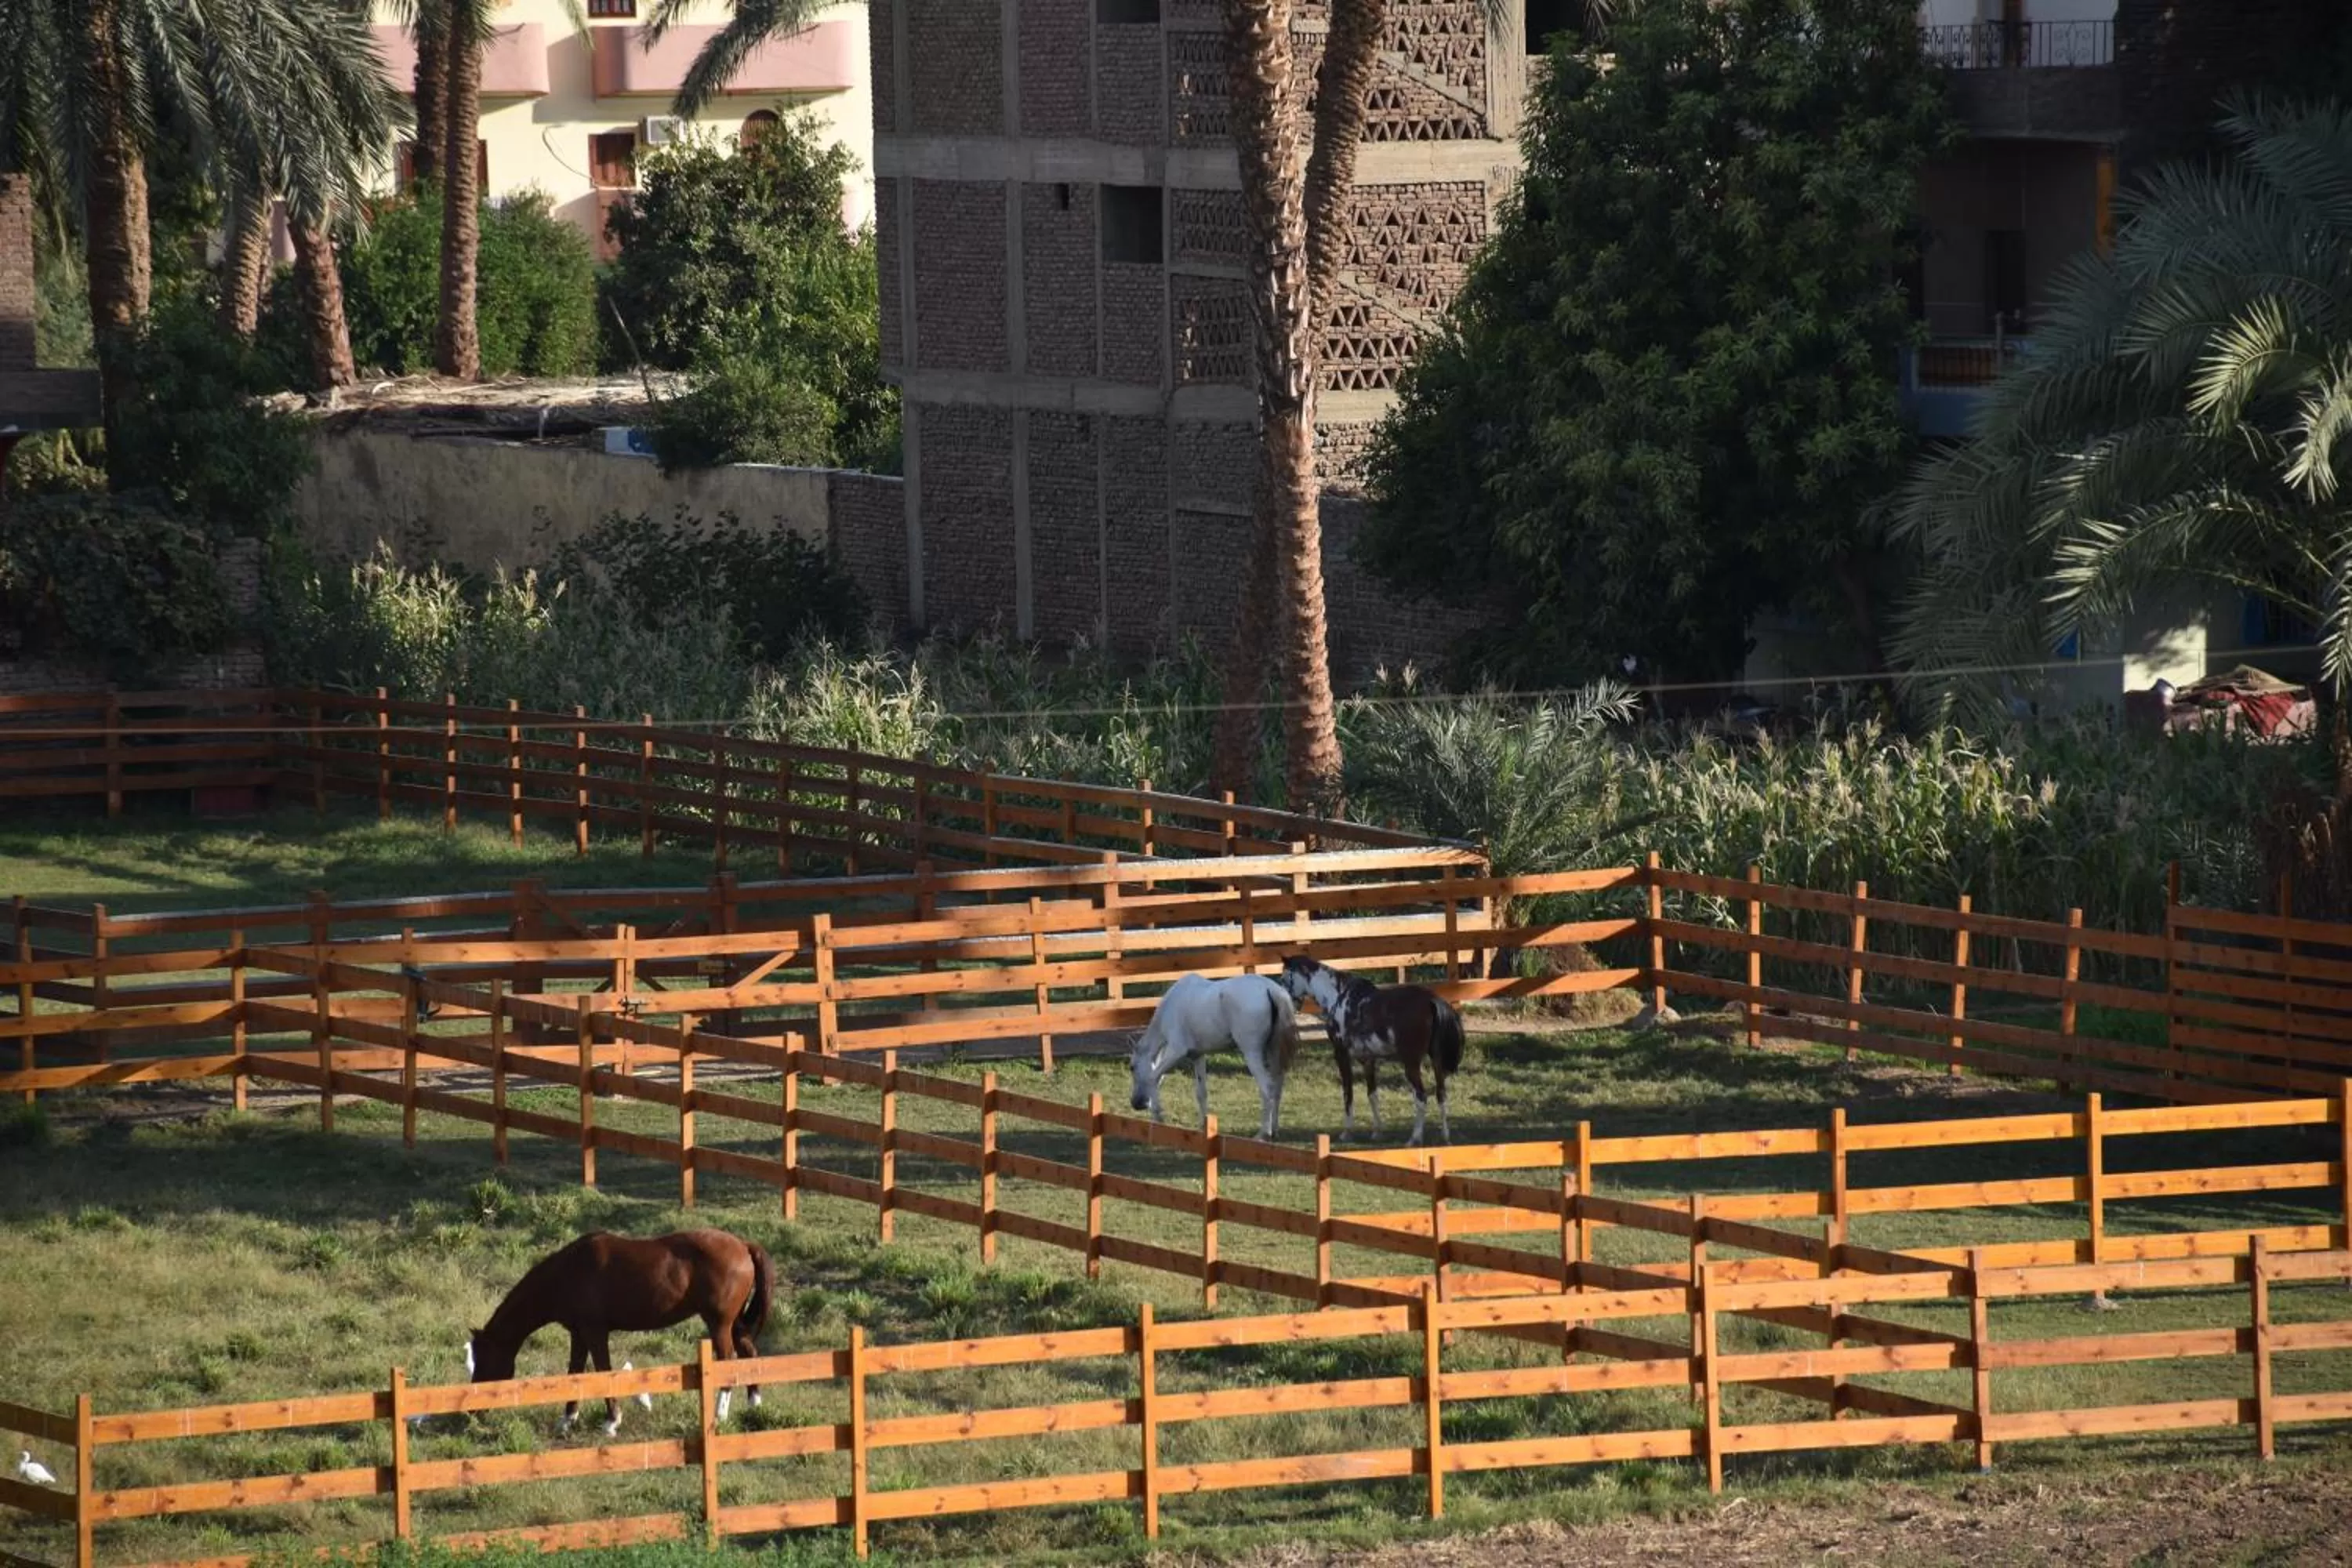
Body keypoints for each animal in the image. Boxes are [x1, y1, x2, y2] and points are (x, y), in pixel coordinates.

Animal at [467, 1229, 772, 1434]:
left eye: (483, 1361)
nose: (473, 1410)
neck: (567, 1274)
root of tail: (743, 1246)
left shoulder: (595, 1332)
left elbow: (603, 1371)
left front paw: (612, 1421)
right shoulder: (579, 1334)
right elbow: (575, 1372)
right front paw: (568, 1419)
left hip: (719, 1323)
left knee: (728, 1360)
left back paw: (720, 1414)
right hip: (733, 1324)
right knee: (749, 1352)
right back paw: (754, 1405)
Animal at [1128, 972, 1301, 1140]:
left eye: (1132, 1067)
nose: (1137, 1104)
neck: (1171, 1005)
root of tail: (1271, 990)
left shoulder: (1176, 1051)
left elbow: (1153, 1077)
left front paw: (1158, 1117)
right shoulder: (1197, 1056)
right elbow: (1201, 1092)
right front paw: (1203, 1125)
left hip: (1252, 1053)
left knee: (1267, 1088)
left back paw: (1264, 1133)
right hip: (1273, 1052)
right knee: (1277, 1088)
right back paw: (1275, 1129)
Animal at [1278, 955, 1465, 1146]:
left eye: (1284, 978)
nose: (1288, 1003)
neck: (1337, 997)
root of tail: (1431, 1001)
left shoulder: (1342, 1055)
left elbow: (1348, 1094)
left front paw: (1347, 1133)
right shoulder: (1368, 1059)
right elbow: (1372, 1095)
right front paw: (1377, 1132)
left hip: (1411, 1063)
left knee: (1421, 1097)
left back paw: (1415, 1138)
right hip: (1436, 1060)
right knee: (1441, 1094)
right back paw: (1445, 1137)